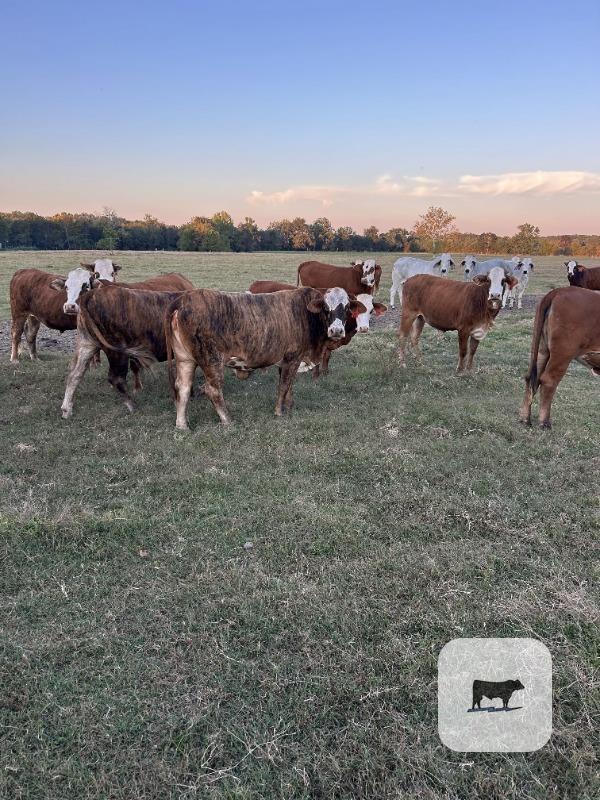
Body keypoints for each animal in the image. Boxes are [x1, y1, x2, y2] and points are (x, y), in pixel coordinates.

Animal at [60, 284, 191, 419]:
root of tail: (92, 294)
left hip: (87, 343)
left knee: (75, 373)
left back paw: (66, 409)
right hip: (116, 350)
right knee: (116, 378)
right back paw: (132, 405)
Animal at [164, 287, 367, 429]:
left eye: (347, 308)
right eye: (326, 307)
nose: (336, 331)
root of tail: (183, 299)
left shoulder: (287, 362)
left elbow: (289, 386)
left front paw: (289, 406)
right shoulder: (292, 358)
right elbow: (284, 385)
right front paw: (279, 412)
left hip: (185, 360)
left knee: (182, 388)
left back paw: (182, 425)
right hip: (211, 360)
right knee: (212, 390)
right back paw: (228, 419)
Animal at [520, 286, 600, 429]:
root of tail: (559, 290)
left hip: (542, 350)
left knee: (531, 378)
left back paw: (525, 418)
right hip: (563, 353)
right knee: (548, 381)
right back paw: (544, 422)